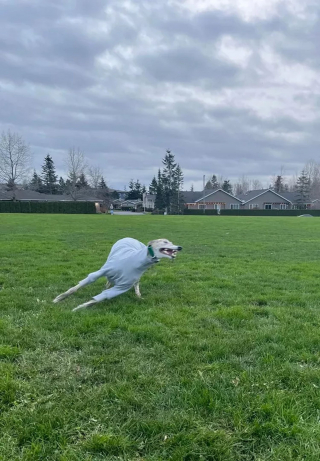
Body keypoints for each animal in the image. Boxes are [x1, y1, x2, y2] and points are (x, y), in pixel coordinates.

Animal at [52, 239, 182, 310]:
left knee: (135, 283)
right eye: (165, 242)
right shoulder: (101, 271)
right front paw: (59, 298)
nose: (179, 247)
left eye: (171, 242)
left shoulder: (121, 287)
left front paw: (78, 308)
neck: (137, 261)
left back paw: (138, 294)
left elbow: (99, 298)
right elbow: (78, 286)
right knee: (108, 280)